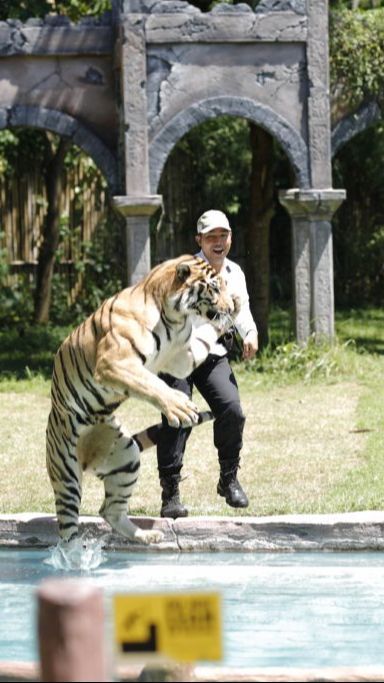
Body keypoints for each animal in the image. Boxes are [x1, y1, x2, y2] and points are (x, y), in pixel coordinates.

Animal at [46, 254, 238, 548]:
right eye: (215, 288)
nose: (231, 303)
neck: (175, 318)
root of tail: (89, 460)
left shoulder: (181, 358)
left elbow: (204, 337)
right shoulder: (114, 362)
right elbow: (152, 385)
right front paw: (180, 408)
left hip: (126, 458)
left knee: (109, 510)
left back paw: (148, 536)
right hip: (66, 476)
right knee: (67, 531)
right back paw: (76, 553)